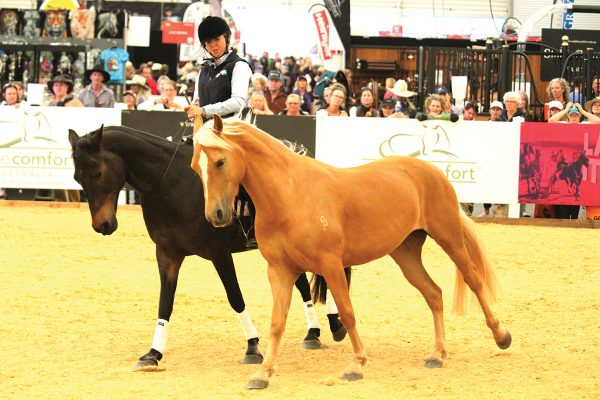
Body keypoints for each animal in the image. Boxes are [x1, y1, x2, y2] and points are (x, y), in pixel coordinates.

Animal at [67, 126, 344, 372]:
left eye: (97, 172)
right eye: (77, 178)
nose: (102, 225)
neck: (172, 184)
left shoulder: (219, 253)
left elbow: (235, 297)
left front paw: (252, 346)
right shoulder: (167, 254)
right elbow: (165, 302)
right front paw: (153, 353)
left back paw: (334, 324)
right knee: (303, 284)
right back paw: (313, 332)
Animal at [191, 115, 510, 388]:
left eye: (220, 161)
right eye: (195, 166)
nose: (215, 215)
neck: (290, 195)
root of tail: (432, 171)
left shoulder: (330, 264)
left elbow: (346, 312)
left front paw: (356, 364)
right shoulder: (280, 271)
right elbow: (277, 322)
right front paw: (263, 373)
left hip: (448, 238)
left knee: (473, 279)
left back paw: (501, 336)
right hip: (406, 253)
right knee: (433, 293)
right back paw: (437, 354)